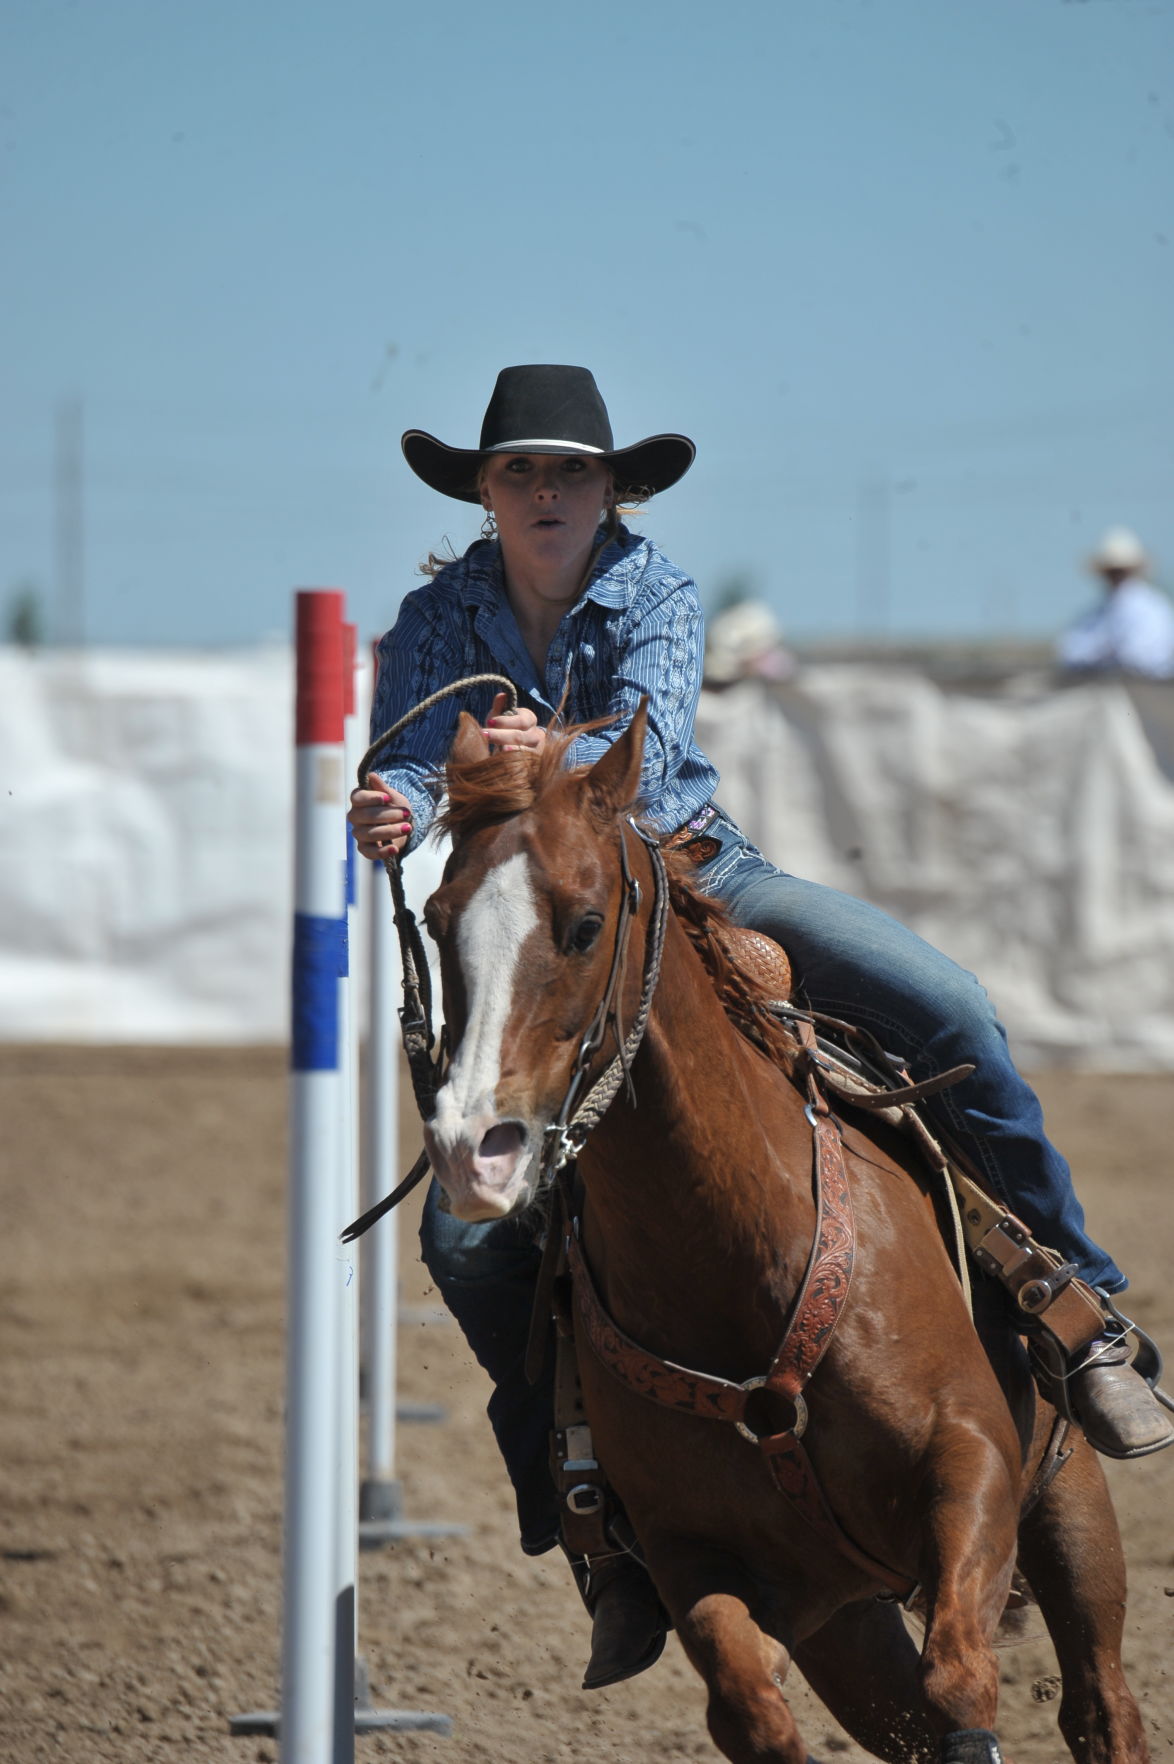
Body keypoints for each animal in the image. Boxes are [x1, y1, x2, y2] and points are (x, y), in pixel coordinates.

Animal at [417, 705, 1142, 1764]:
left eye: (585, 924)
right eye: (436, 923)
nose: (474, 1150)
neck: (734, 1260)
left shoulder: (971, 1458)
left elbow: (961, 1680)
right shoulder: (692, 1555)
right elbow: (752, 1711)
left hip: (1068, 1504)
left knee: (1099, 1703)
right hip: (849, 1626)